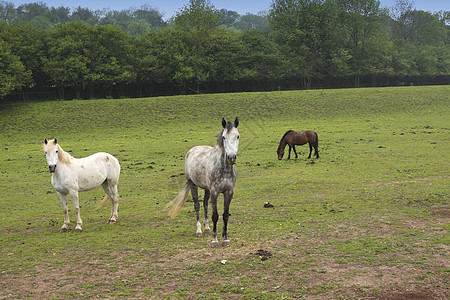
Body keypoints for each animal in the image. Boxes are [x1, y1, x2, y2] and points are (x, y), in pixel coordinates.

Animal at [167, 116, 239, 247]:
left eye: (237, 136)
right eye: (224, 137)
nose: (231, 157)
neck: (224, 169)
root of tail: (191, 150)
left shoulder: (229, 192)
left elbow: (225, 215)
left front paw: (225, 239)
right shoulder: (215, 192)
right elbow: (215, 215)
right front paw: (215, 240)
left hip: (206, 189)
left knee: (205, 203)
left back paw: (207, 228)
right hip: (193, 185)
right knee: (197, 205)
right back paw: (199, 230)